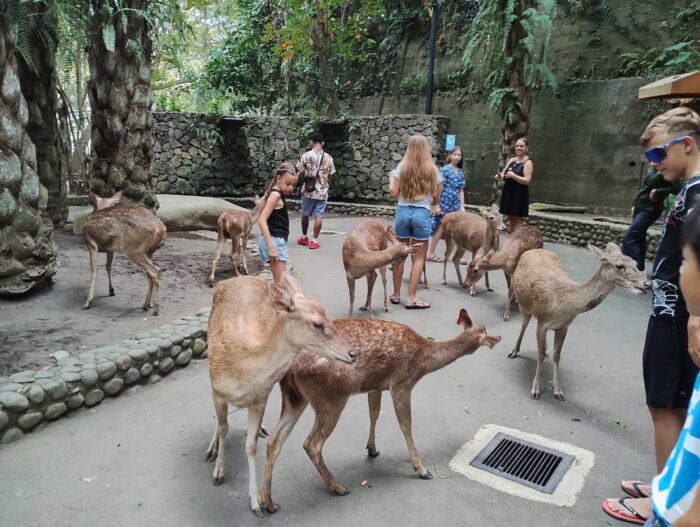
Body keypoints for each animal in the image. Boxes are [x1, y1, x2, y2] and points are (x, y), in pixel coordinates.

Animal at [205, 272, 352, 520]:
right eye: (317, 324)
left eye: (330, 317)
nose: (353, 353)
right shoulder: (218, 390)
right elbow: (224, 428)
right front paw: (218, 472)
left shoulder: (261, 398)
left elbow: (251, 446)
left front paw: (256, 502)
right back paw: (211, 450)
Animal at [260, 308, 500, 512]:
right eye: (485, 331)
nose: (497, 338)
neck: (423, 360)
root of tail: (290, 367)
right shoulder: (402, 382)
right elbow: (406, 425)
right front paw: (422, 470)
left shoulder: (376, 385)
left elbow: (374, 412)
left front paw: (372, 449)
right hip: (331, 397)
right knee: (311, 443)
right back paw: (338, 487)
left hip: (294, 398)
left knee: (274, 441)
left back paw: (268, 503)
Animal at [508, 243, 652, 400]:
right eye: (619, 266)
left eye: (636, 263)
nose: (647, 284)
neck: (561, 305)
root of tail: (534, 250)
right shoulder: (542, 321)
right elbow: (539, 355)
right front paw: (535, 390)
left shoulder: (564, 326)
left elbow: (557, 356)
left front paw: (558, 391)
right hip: (522, 304)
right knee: (524, 323)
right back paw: (514, 351)